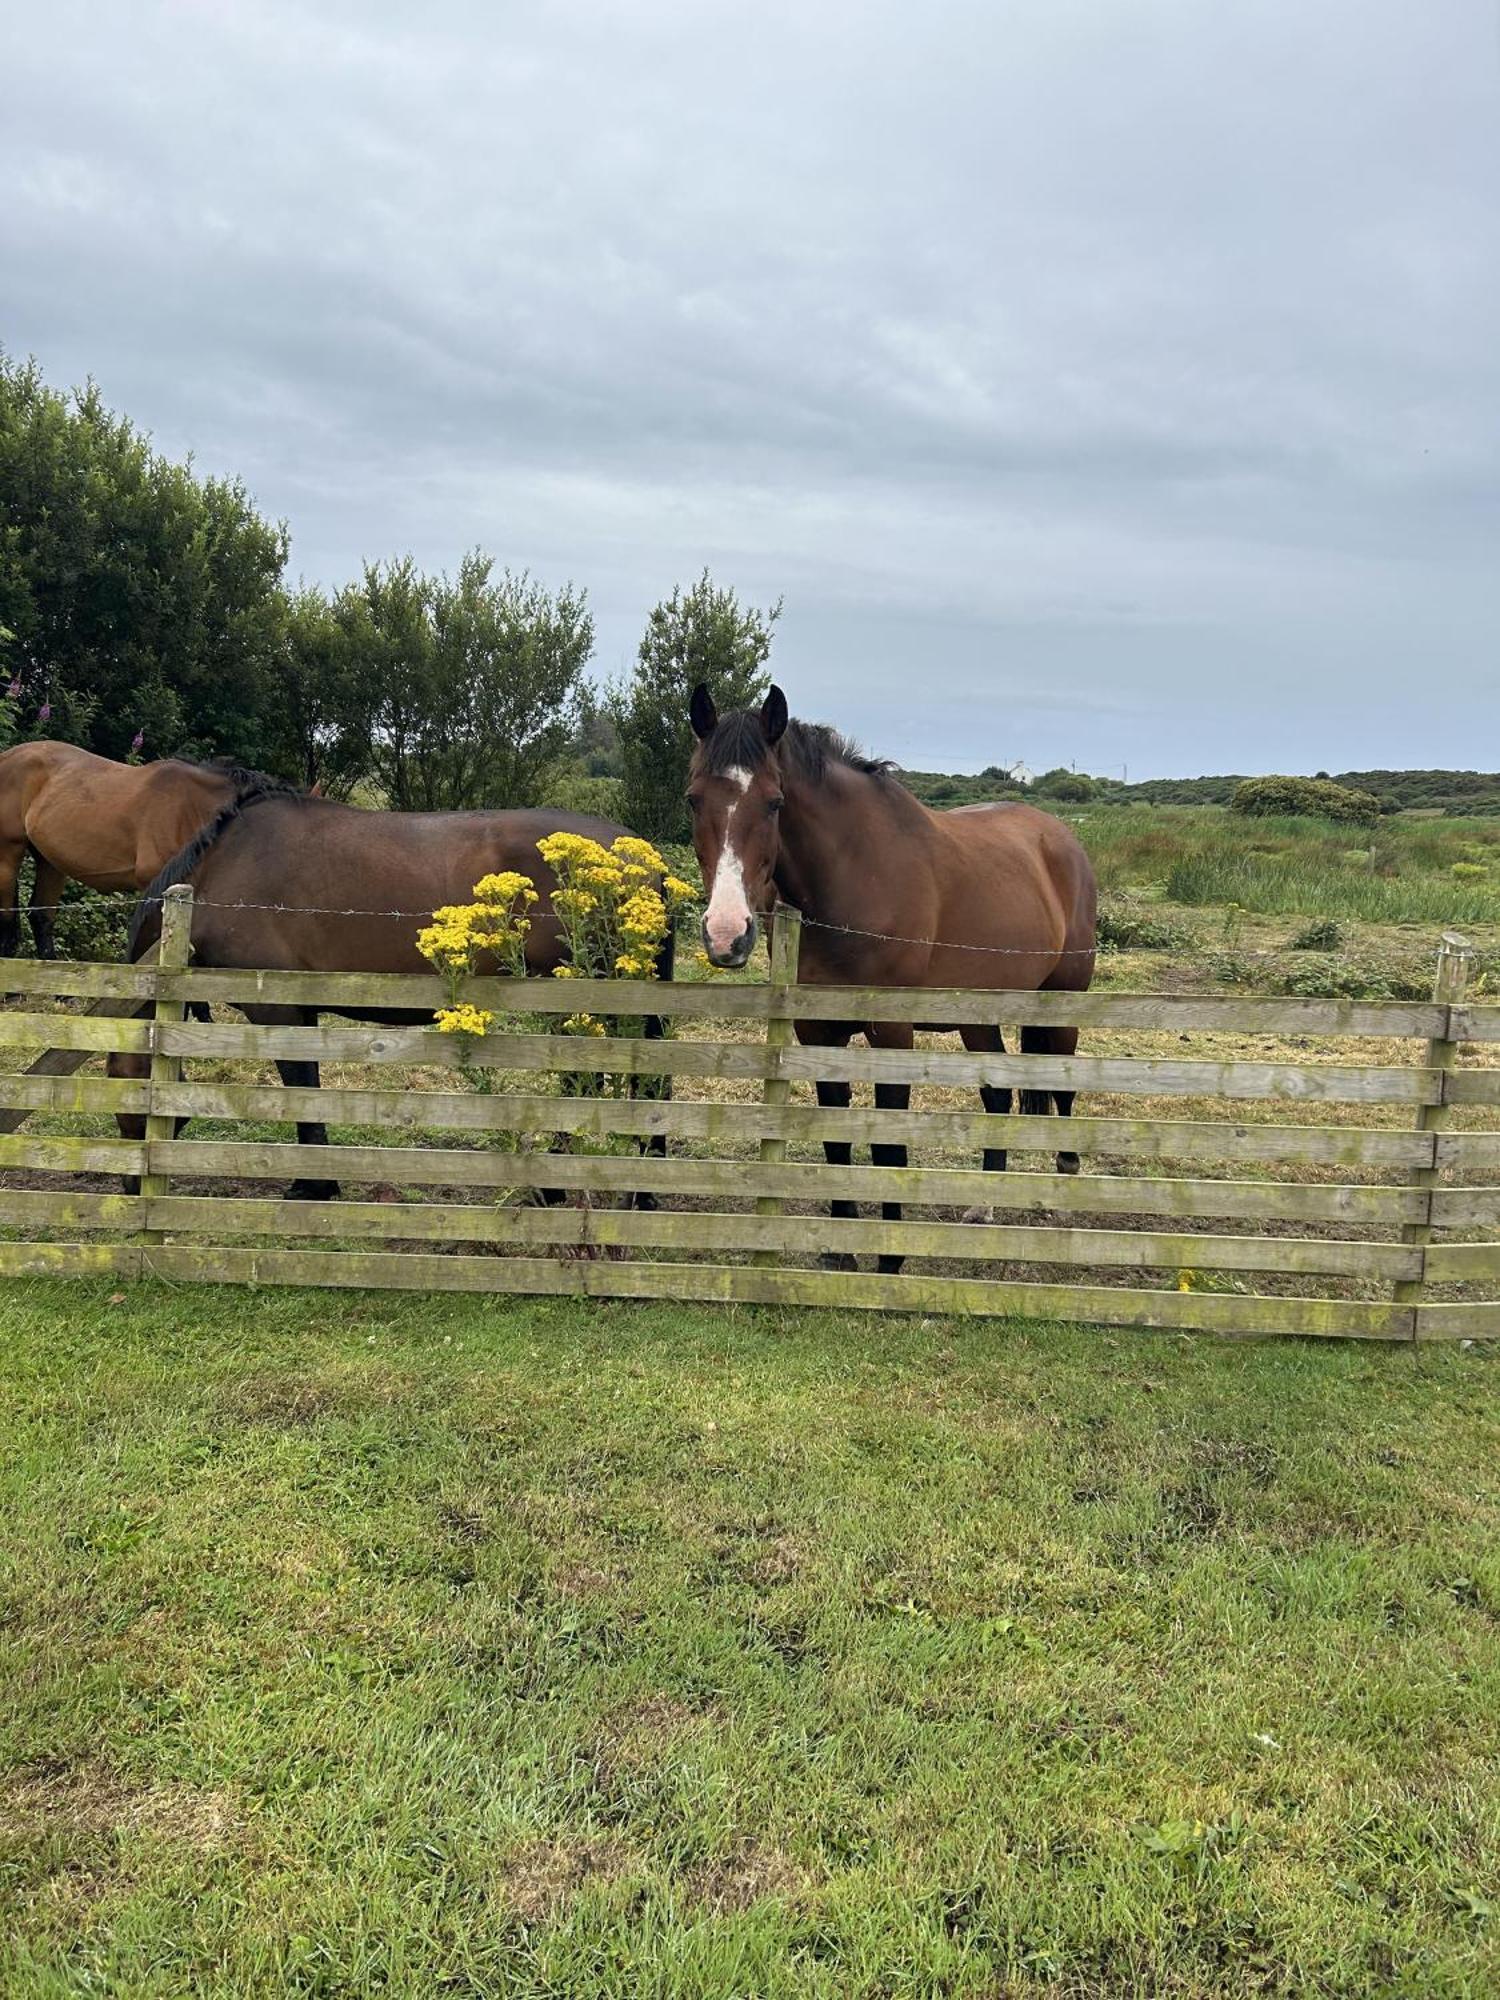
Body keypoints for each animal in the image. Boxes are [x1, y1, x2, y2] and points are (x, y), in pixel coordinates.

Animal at [117, 792, 676, 1200]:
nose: (126, 1185)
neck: (224, 870)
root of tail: (641, 853)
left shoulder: (278, 1008)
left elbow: (301, 1089)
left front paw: (311, 1185)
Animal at [688, 680, 1096, 1272]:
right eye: (694, 798)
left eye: (775, 802)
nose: (726, 933)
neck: (857, 880)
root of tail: (1060, 839)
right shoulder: (819, 1032)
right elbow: (836, 1140)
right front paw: (841, 1251)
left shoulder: (892, 1032)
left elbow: (888, 1145)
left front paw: (889, 1258)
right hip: (980, 1014)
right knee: (999, 1097)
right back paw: (985, 1205)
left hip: (1063, 1000)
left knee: (1064, 1089)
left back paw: (1065, 1188)